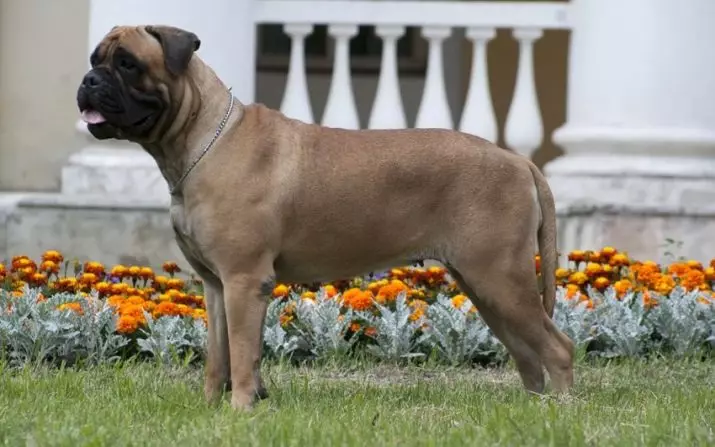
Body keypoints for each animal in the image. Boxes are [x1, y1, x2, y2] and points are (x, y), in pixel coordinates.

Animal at [75, 23, 572, 410]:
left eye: (127, 64)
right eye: (95, 58)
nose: (89, 80)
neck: (201, 138)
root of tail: (519, 161)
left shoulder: (243, 281)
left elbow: (242, 353)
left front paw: (241, 410)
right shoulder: (216, 286)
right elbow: (218, 357)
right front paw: (212, 408)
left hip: (500, 278)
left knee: (558, 348)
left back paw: (559, 410)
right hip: (485, 286)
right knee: (528, 353)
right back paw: (533, 408)